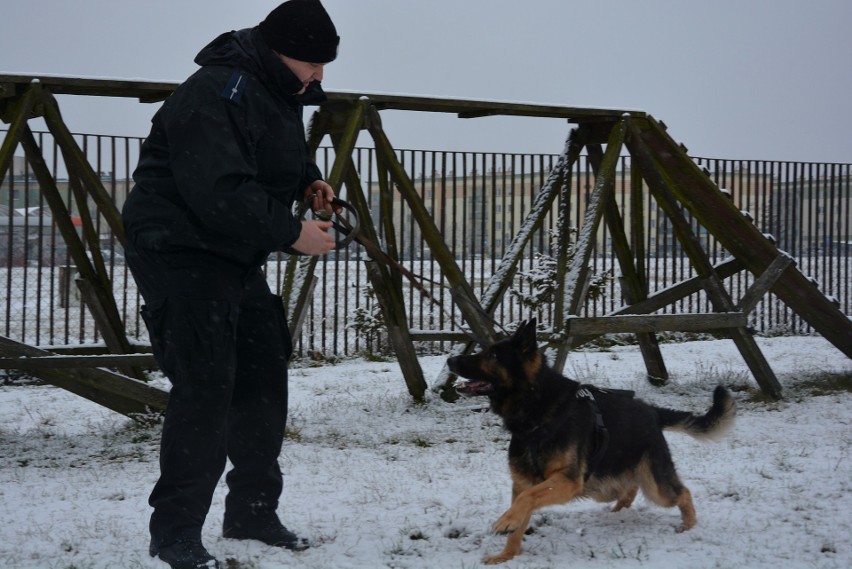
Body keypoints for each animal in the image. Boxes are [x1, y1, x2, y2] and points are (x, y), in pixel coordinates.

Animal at [446, 318, 732, 560]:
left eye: (492, 355)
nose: (449, 360)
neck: (537, 407)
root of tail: (651, 410)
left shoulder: (567, 480)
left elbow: (527, 499)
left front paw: (506, 522)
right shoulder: (524, 482)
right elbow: (521, 511)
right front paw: (507, 555)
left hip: (654, 487)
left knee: (681, 492)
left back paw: (689, 524)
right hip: (605, 484)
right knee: (629, 487)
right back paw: (618, 513)